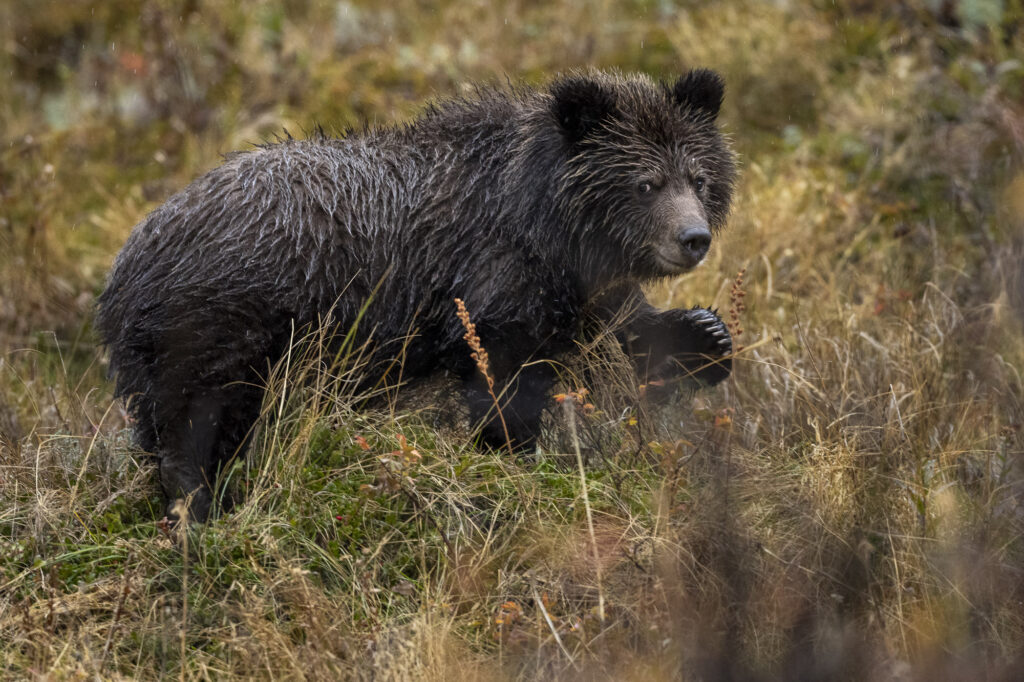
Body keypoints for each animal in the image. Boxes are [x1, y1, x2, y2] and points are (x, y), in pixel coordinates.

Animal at [96, 68, 737, 522]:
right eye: (646, 183)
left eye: (699, 178)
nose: (693, 238)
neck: (547, 224)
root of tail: (125, 263)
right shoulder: (491, 283)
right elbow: (503, 382)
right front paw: (511, 456)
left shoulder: (580, 291)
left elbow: (629, 330)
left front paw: (708, 338)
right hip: (221, 321)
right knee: (196, 421)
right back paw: (196, 511)